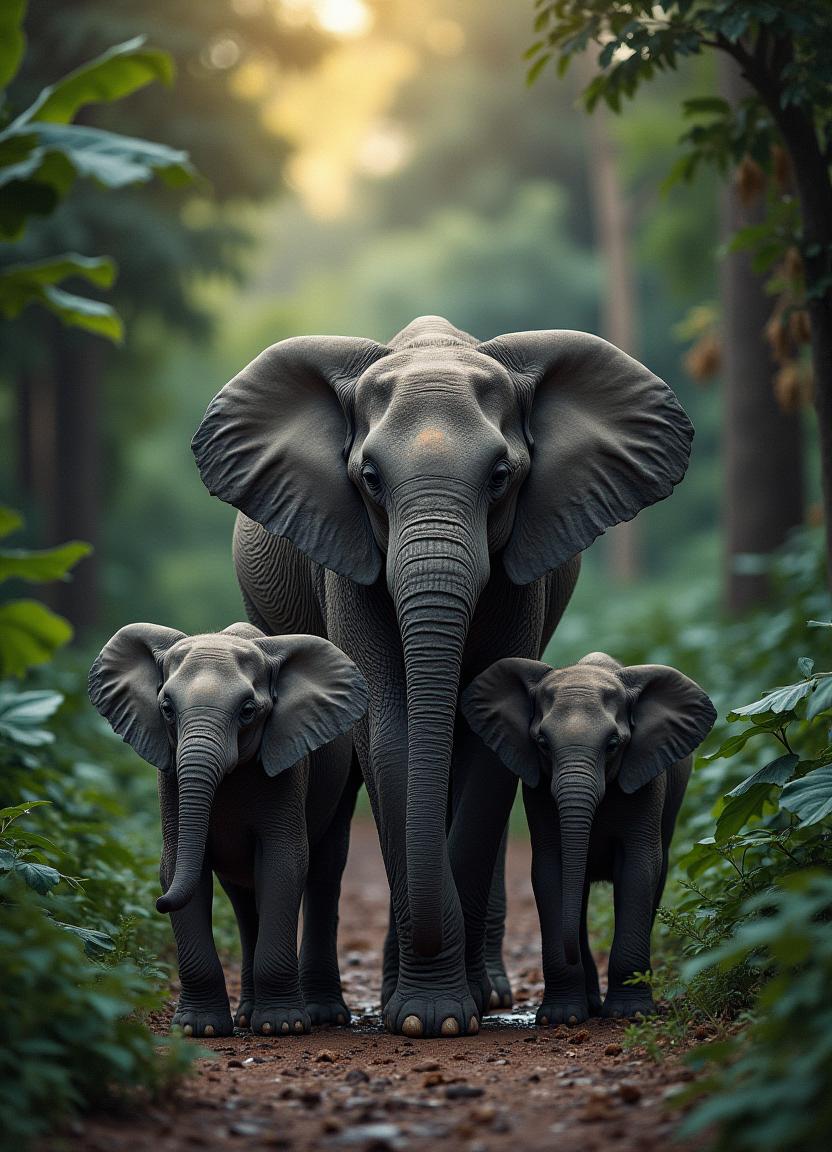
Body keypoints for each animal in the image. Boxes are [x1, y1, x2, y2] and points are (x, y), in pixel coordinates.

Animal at [88, 622, 369, 1038]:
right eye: (166, 709)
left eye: (248, 711)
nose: (157, 904)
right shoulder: (169, 776)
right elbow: (176, 866)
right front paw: (198, 1030)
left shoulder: (287, 769)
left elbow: (284, 866)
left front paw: (283, 1026)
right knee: (242, 899)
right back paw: (246, 1017)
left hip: (343, 780)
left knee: (324, 871)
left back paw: (322, 1016)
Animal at [460, 652, 716, 1025]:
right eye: (542, 744)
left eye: (612, 745)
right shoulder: (539, 792)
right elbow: (550, 873)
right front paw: (560, 1018)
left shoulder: (646, 782)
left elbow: (639, 871)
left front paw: (630, 1014)